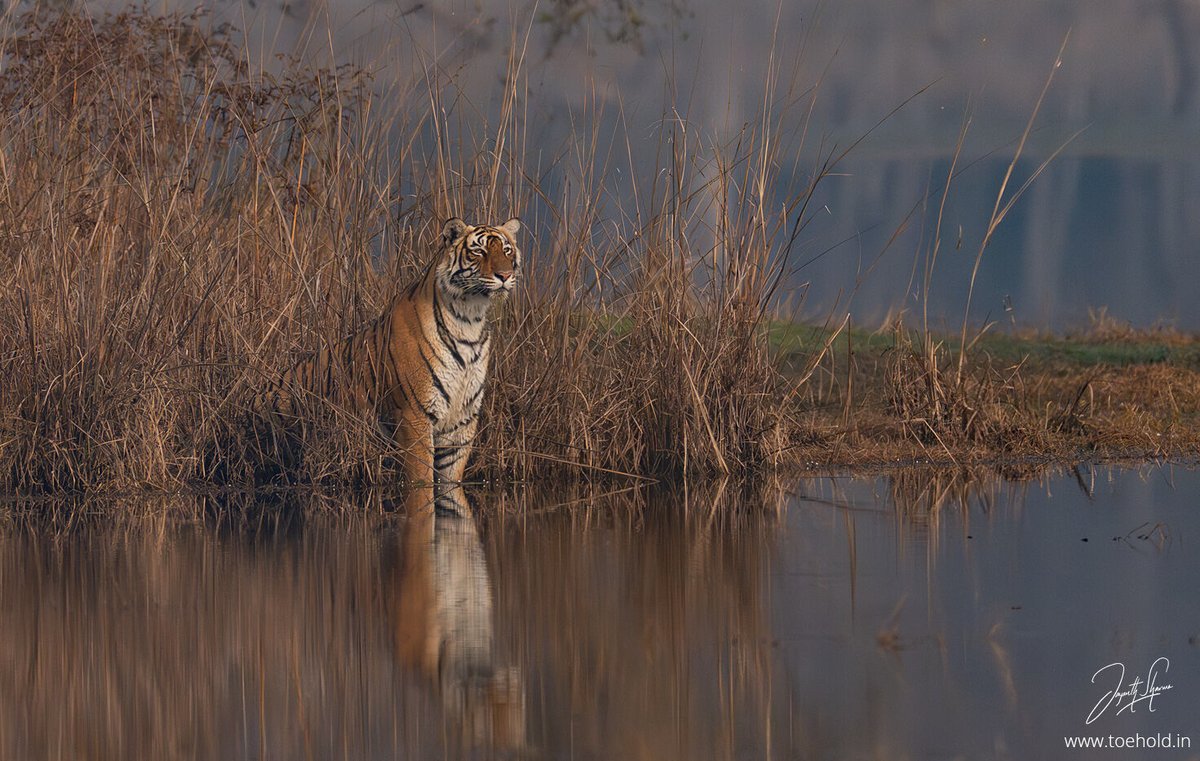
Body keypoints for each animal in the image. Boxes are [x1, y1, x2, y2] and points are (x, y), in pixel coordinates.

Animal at [256, 216, 521, 485]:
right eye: (479, 251)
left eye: (506, 250)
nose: (505, 275)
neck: (469, 321)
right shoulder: (414, 415)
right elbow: (421, 478)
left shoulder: (462, 421)